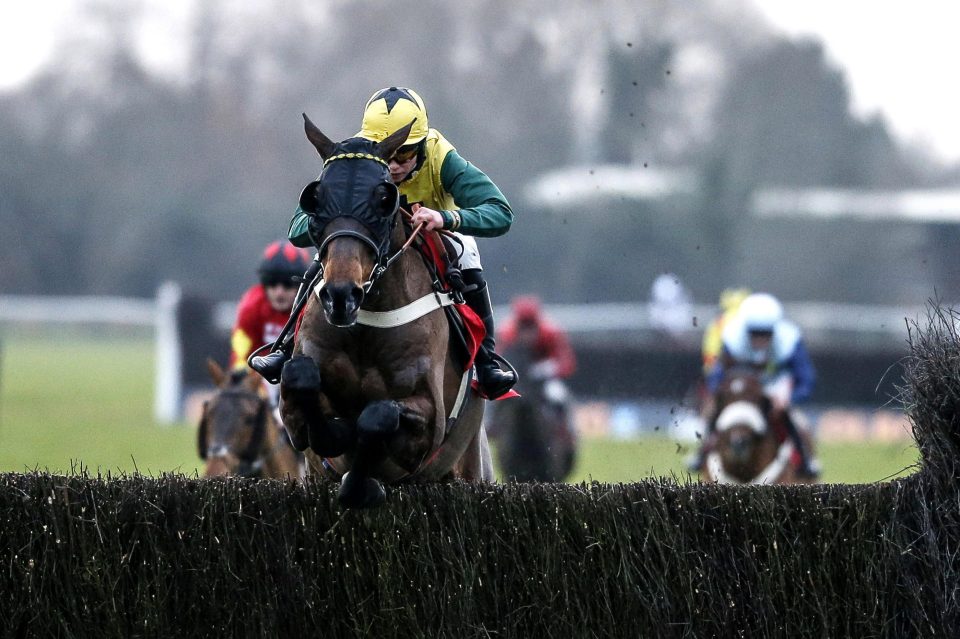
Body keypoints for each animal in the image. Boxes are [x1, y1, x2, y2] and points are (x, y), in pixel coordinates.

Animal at [276, 112, 488, 508]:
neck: (366, 324)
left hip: (466, 466)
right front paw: (337, 432)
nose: (341, 295)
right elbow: (301, 379)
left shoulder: (430, 420)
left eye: (383, 199)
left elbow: (379, 415)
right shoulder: (294, 414)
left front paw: (362, 482)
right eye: (316, 198)